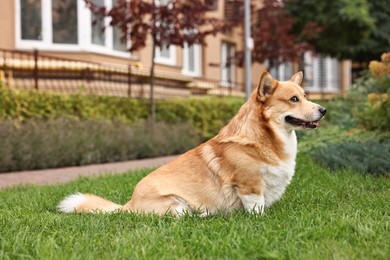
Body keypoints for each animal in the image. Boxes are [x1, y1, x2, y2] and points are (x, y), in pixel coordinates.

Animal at [58, 70, 326, 215]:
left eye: (305, 96)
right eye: (293, 99)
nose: (324, 110)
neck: (264, 137)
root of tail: (128, 205)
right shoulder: (248, 185)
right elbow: (256, 207)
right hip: (176, 205)